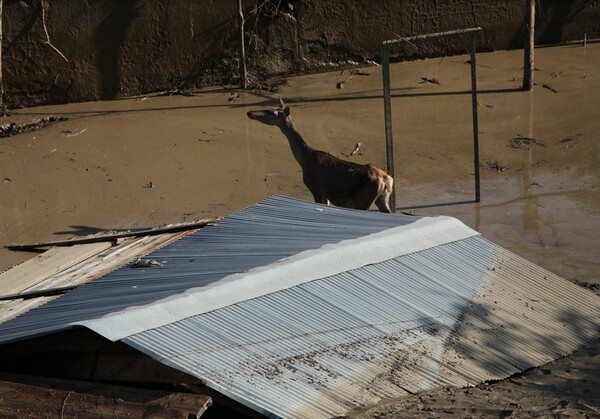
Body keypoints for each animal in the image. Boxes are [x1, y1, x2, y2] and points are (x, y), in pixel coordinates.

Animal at [246, 99, 396, 213]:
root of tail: (385, 179)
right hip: (383, 198)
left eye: (273, 113)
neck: (305, 160)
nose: (249, 112)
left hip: (362, 200)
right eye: (270, 108)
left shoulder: (316, 188)